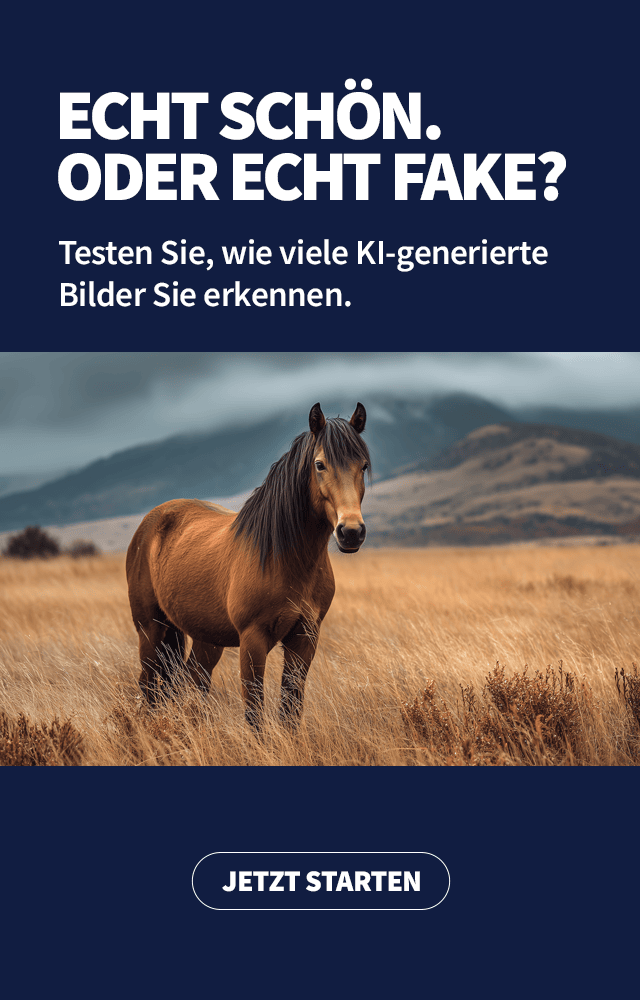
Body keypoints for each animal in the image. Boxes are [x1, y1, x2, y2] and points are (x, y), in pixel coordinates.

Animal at [126, 402, 370, 728]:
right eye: (320, 464)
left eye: (364, 466)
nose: (351, 532)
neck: (285, 558)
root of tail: (151, 521)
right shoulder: (252, 640)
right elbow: (254, 713)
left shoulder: (305, 638)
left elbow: (290, 709)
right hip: (151, 630)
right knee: (150, 687)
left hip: (205, 638)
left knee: (194, 681)